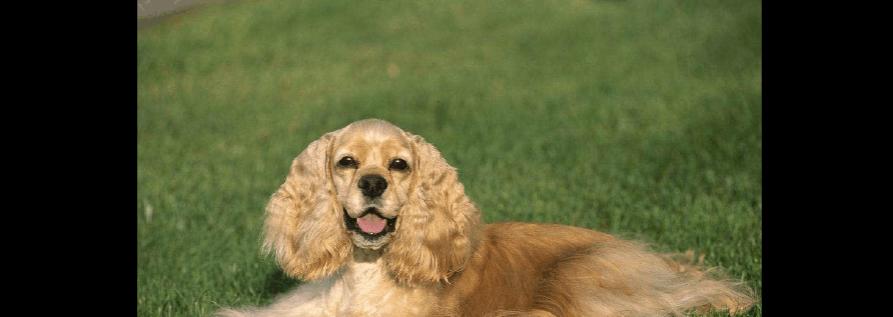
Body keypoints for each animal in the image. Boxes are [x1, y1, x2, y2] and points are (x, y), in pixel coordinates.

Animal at [216, 118, 752, 316]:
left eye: (399, 164)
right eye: (347, 162)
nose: (372, 184)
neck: (366, 275)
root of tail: (671, 268)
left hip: (578, 277)